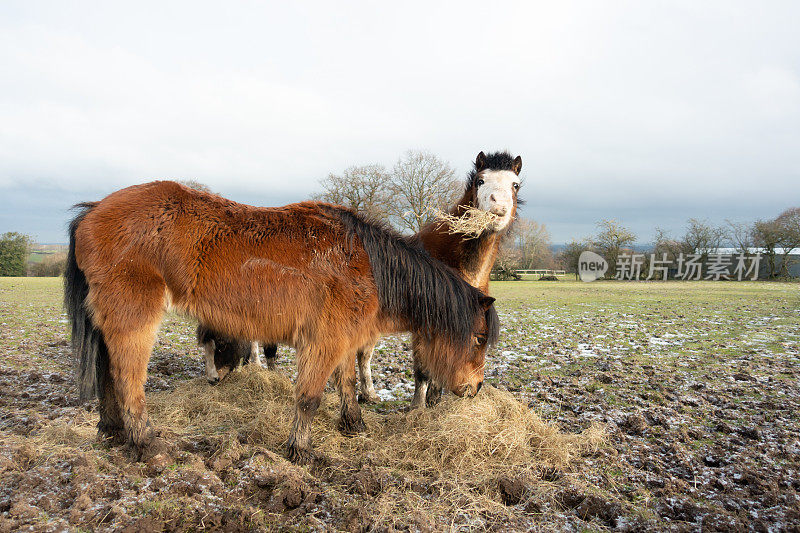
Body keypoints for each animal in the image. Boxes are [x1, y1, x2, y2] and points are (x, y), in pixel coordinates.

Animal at [65, 182, 496, 462]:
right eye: (478, 339)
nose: (476, 388)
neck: (370, 265)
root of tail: (93, 210)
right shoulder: (324, 342)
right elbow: (308, 397)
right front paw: (299, 451)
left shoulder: (343, 340)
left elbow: (347, 385)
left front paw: (354, 425)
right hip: (134, 319)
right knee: (127, 380)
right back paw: (144, 443)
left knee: (106, 374)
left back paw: (112, 431)